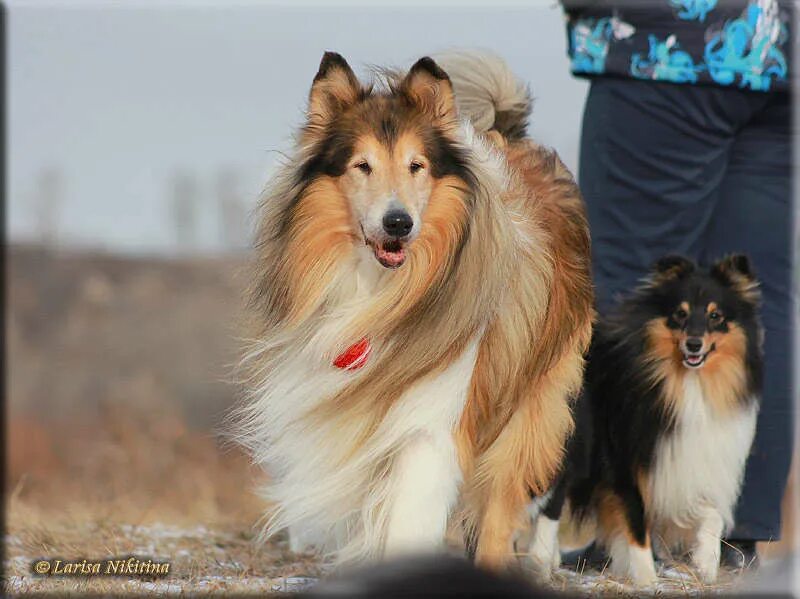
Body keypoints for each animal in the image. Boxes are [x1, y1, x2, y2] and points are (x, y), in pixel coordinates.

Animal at [231, 50, 592, 568]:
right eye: (362, 165)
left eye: (416, 165)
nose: (398, 223)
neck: (382, 294)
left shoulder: (433, 420)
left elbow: (411, 519)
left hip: (529, 407)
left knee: (500, 506)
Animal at [524, 254, 764, 584]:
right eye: (679, 314)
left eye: (715, 316)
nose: (693, 344)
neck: (684, 383)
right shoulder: (625, 465)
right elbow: (636, 525)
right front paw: (648, 579)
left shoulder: (680, 463)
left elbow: (709, 512)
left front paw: (706, 563)